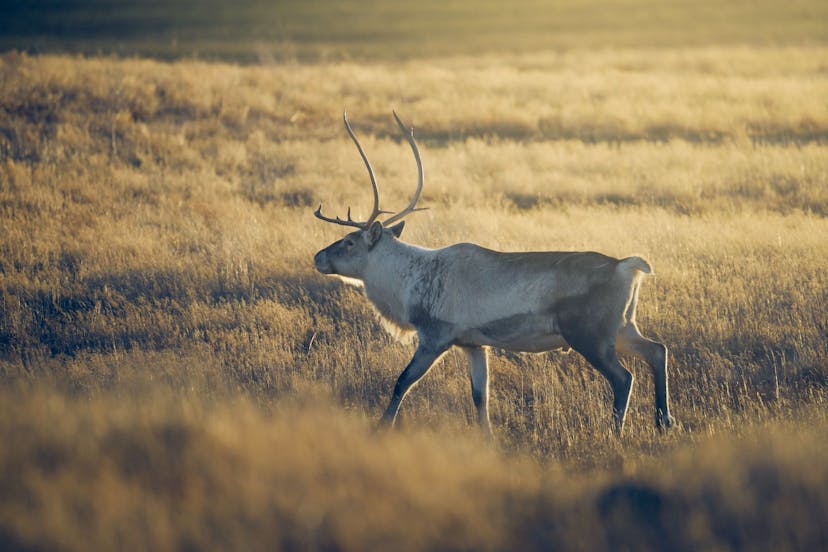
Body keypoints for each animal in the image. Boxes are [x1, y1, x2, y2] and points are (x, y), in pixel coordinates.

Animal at [313, 111, 674, 437]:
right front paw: (487, 438)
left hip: (589, 335)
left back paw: (617, 431)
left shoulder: (435, 336)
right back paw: (664, 421)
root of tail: (627, 266)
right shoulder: (474, 344)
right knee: (657, 350)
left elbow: (402, 382)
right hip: (623, 327)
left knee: (623, 377)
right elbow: (480, 396)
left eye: (349, 241)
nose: (318, 257)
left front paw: (380, 428)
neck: (408, 281)